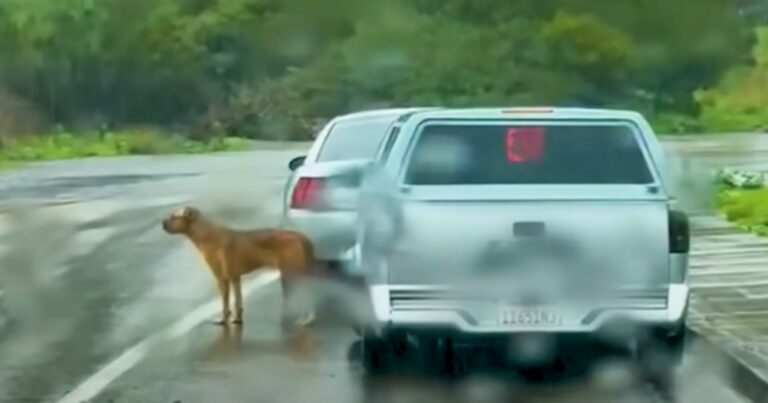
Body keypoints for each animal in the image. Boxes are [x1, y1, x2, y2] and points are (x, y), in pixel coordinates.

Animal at [162, 205, 318, 328]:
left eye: (174, 217)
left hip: (293, 273)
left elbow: (225, 304)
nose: (162, 223)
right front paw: (237, 319)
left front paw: (223, 320)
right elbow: (238, 301)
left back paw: (305, 319)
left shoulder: (222, 279)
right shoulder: (235, 278)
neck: (207, 234)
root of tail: (301, 236)